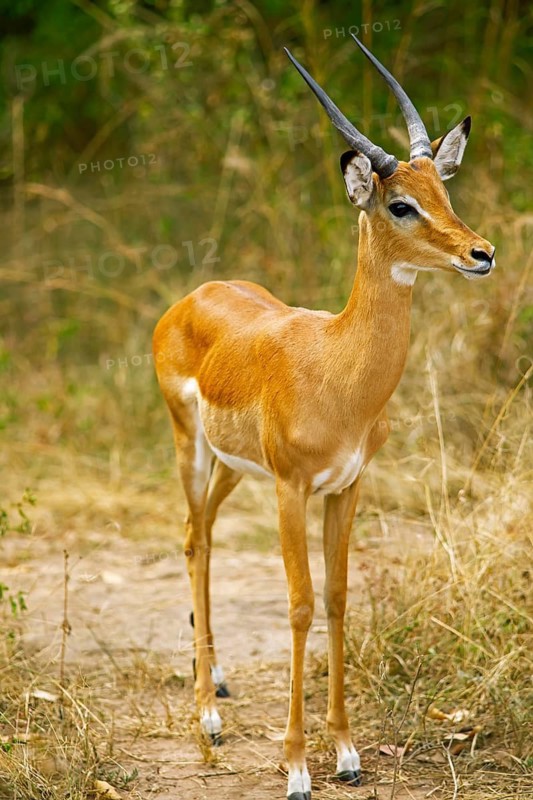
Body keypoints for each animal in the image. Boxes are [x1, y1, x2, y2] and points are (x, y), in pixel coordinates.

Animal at [153, 36, 495, 800]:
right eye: (399, 204)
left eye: (444, 192)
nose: (480, 253)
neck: (337, 371)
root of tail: (194, 294)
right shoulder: (292, 489)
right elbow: (301, 604)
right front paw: (297, 767)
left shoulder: (345, 486)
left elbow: (338, 599)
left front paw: (345, 754)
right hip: (191, 447)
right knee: (193, 541)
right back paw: (207, 718)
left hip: (233, 468)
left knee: (204, 534)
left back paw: (218, 684)